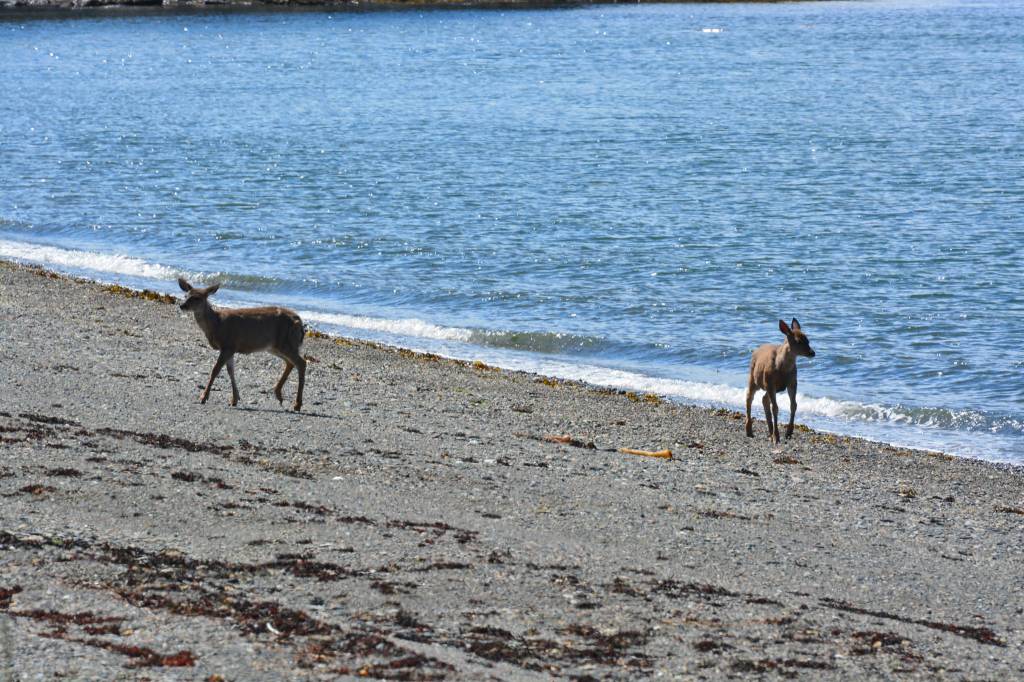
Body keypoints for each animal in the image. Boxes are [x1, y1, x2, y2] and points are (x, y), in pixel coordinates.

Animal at [177, 278, 306, 412]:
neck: (217, 324)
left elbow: (215, 370)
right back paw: (279, 395)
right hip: (275, 346)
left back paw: (297, 404)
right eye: (185, 295)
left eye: (197, 298)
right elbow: (230, 371)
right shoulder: (231, 348)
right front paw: (234, 399)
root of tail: (300, 322)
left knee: (301, 363)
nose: (182, 305)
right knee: (290, 363)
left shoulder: (228, 345)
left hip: (286, 342)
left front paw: (203, 397)